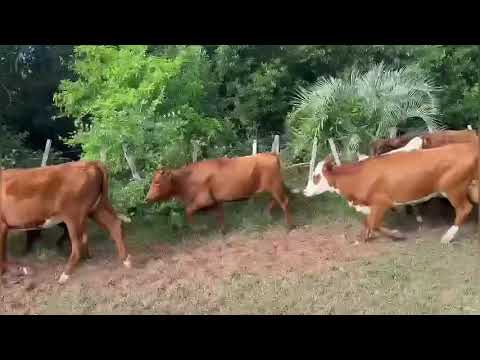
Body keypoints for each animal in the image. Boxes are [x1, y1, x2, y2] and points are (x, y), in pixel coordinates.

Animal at [0, 161, 131, 284]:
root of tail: (90, 163)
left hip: (74, 215)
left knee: (78, 242)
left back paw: (65, 274)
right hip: (96, 208)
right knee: (114, 225)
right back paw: (125, 261)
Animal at [144, 152, 292, 231]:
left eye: (157, 182)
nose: (147, 198)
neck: (188, 178)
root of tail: (271, 154)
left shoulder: (203, 199)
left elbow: (188, 211)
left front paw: (199, 228)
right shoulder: (215, 200)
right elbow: (219, 214)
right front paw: (222, 229)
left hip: (275, 185)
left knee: (284, 202)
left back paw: (288, 225)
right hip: (272, 187)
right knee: (275, 200)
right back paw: (267, 215)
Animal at [304, 141, 476, 245]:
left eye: (316, 176)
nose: (305, 191)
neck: (358, 177)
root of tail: (467, 147)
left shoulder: (382, 202)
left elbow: (373, 223)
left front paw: (396, 234)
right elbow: (369, 223)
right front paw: (365, 236)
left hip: (453, 189)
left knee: (464, 209)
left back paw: (448, 236)